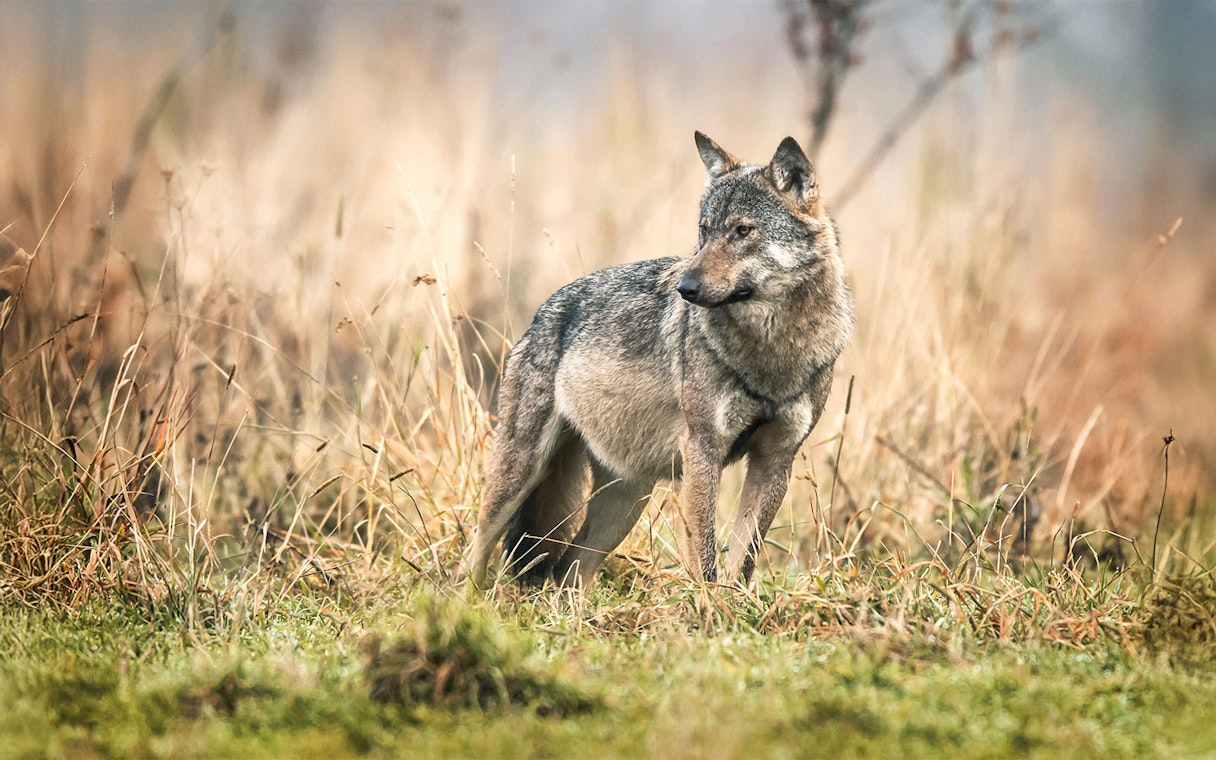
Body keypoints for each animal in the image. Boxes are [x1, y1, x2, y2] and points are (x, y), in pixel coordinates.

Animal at [460, 132, 853, 590]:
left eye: (742, 231)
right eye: (704, 231)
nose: (686, 287)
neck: (773, 351)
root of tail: (541, 314)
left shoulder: (777, 456)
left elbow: (744, 559)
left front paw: (734, 603)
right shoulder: (702, 449)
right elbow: (704, 556)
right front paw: (708, 605)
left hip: (624, 502)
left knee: (568, 571)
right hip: (521, 473)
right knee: (475, 552)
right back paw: (462, 599)